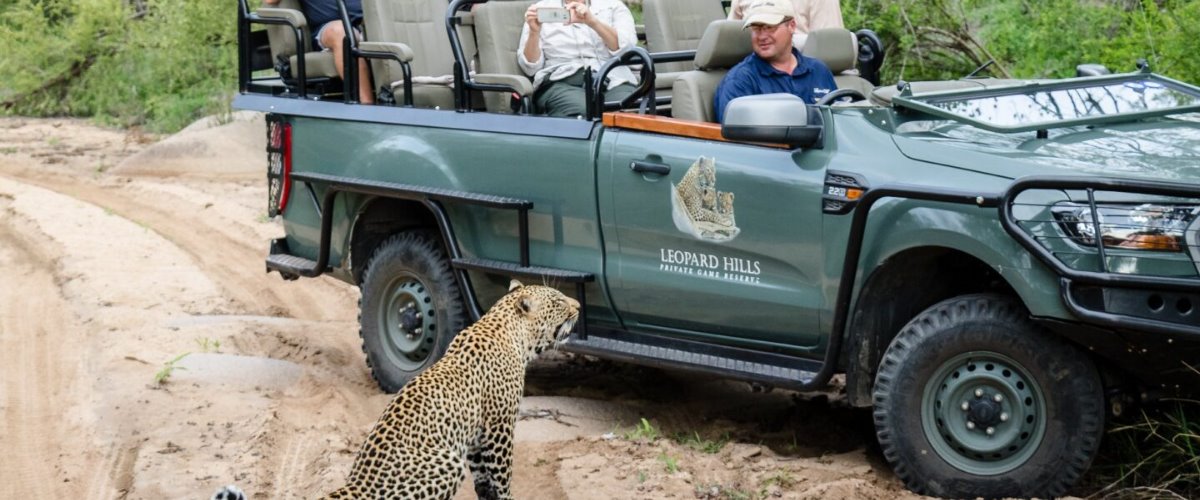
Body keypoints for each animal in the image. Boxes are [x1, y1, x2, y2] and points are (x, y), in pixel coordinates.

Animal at [320, 280, 580, 500]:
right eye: (559, 302)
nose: (578, 306)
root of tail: (357, 485)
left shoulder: (475, 435)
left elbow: (483, 480)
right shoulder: (499, 426)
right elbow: (502, 477)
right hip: (449, 462)